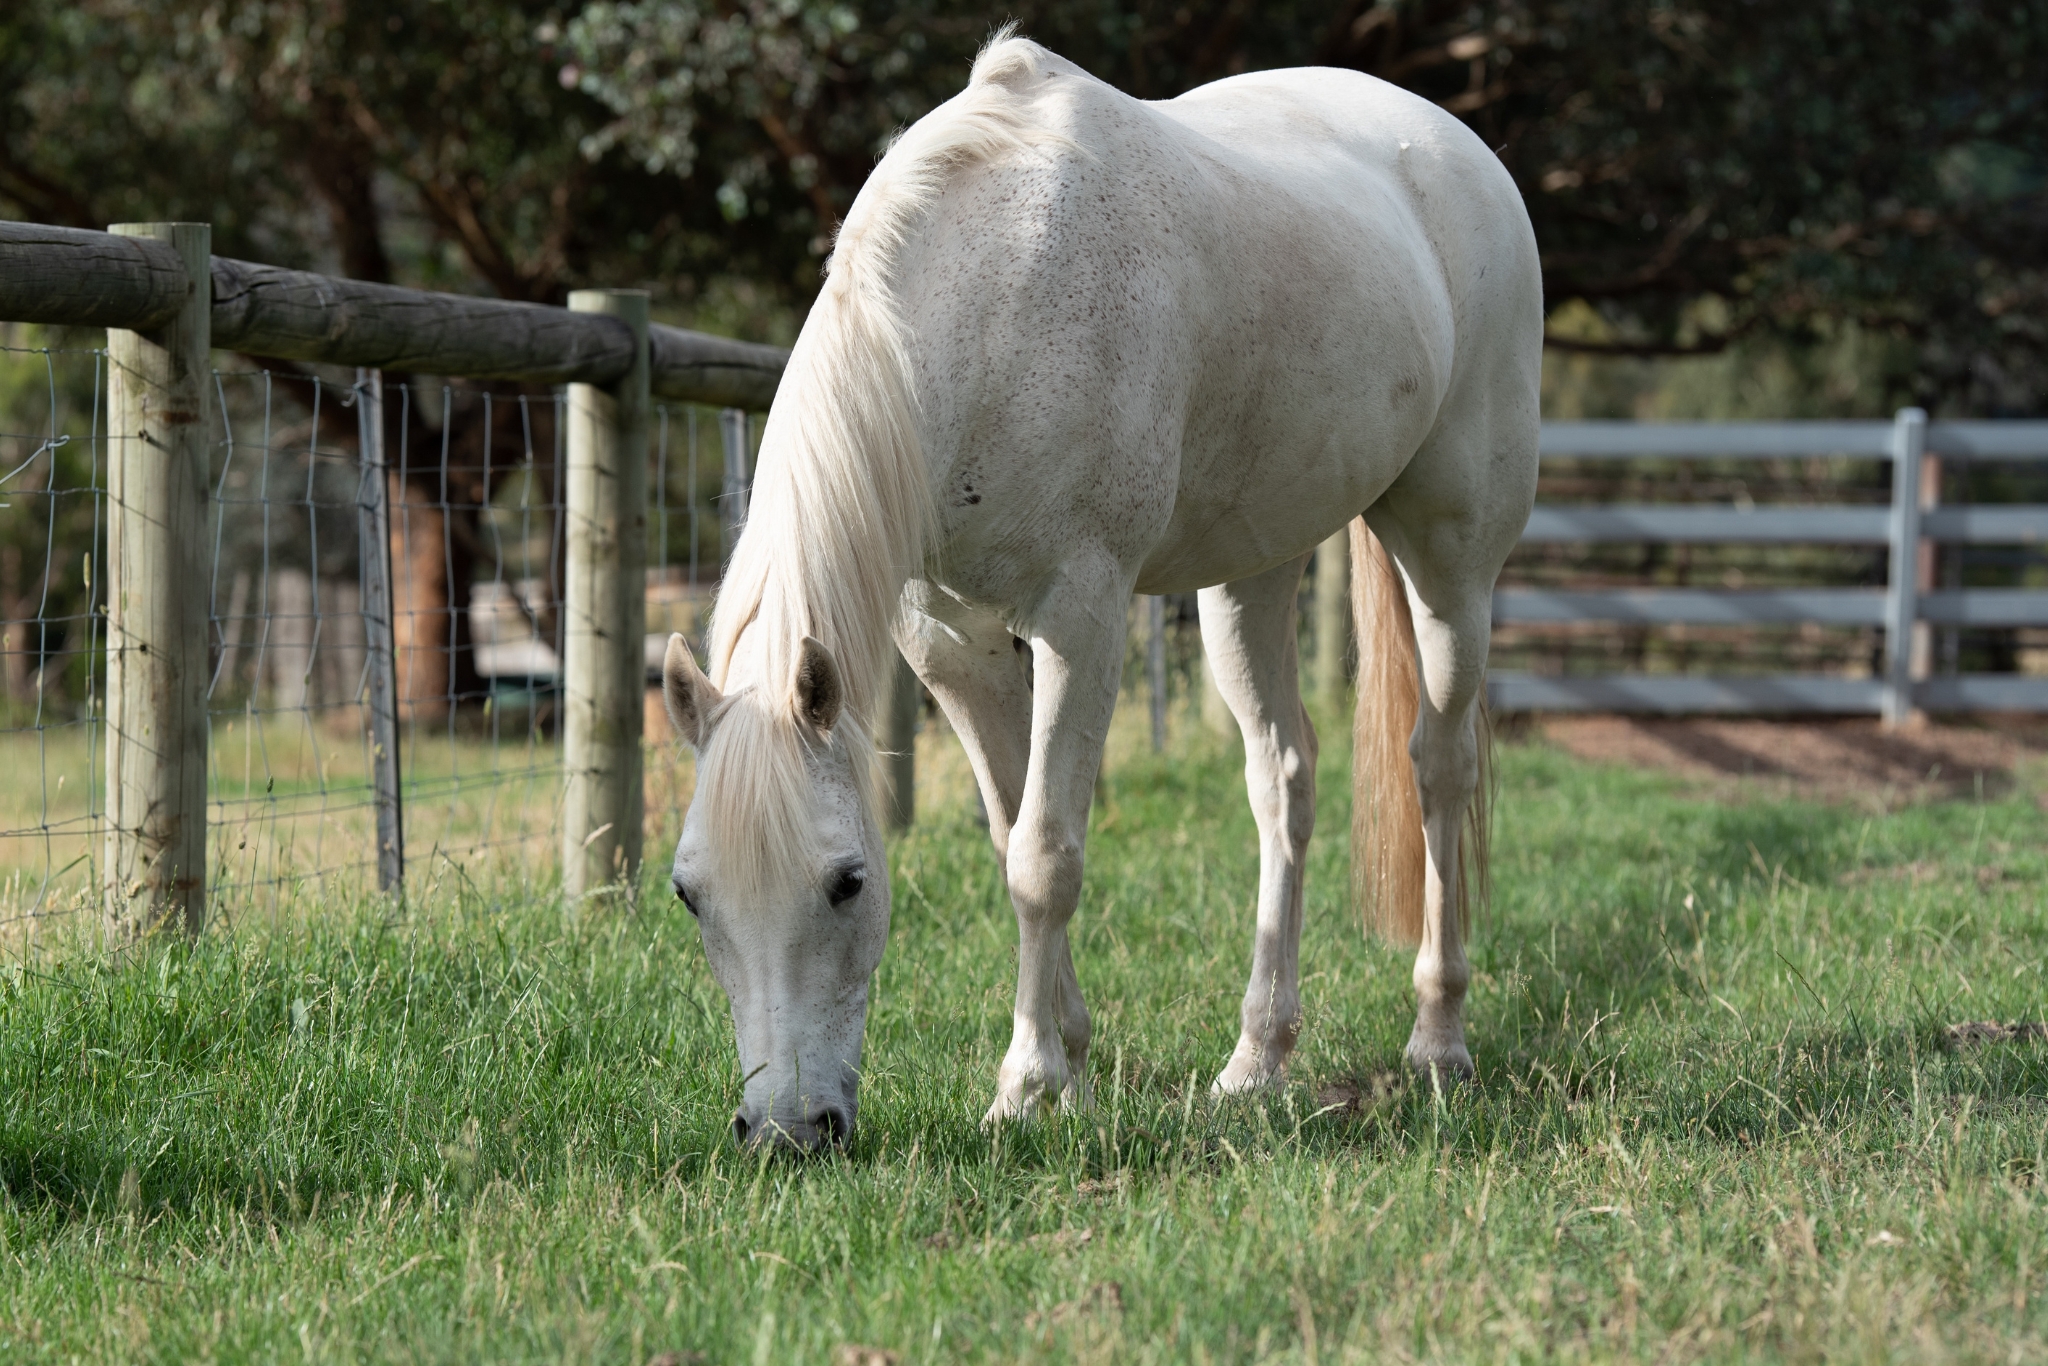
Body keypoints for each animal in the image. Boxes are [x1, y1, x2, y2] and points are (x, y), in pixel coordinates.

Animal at [658, 32, 1541, 1150]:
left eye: (846, 882)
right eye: (690, 896)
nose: (783, 1131)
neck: (995, 296)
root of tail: (1454, 148)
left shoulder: (1080, 621)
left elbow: (1046, 855)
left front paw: (1025, 1086)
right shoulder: (950, 646)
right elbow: (1010, 836)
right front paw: (1069, 1071)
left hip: (1450, 556)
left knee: (1439, 766)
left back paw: (1437, 1040)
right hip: (1250, 574)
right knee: (1283, 780)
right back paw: (1256, 1062)